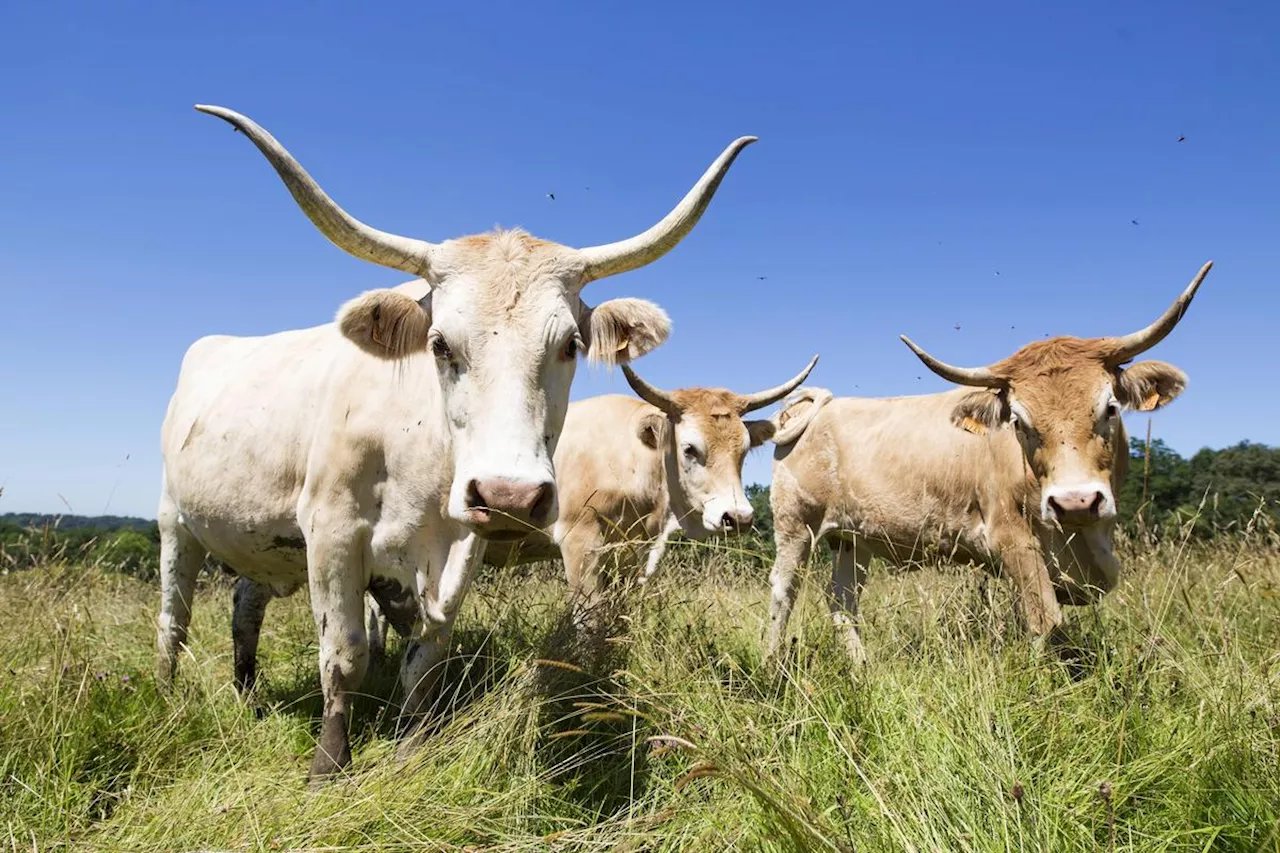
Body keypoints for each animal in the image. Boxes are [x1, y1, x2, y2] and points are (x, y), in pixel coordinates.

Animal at [163, 104, 752, 778]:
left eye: (571, 344)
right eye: (439, 342)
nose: (509, 495)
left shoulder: (462, 544)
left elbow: (426, 658)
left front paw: (411, 749)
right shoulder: (333, 532)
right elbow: (343, 655)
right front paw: (327, 769)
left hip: (263, 540)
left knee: (245, 602)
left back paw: (246, 692)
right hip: (174, 523)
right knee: (174, 620)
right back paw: (167, 698)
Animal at [762, 262, 1213, 660]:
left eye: (1111, 408)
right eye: (1019, 421)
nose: (1076, 502)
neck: (1082, 538)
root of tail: (823, 405)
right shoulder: (1011, 538)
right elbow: (1045, 618)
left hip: (851, 540)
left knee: (842, 602)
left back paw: (863, 670)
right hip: (796, 527)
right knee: (783, 594)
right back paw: (771, 665)